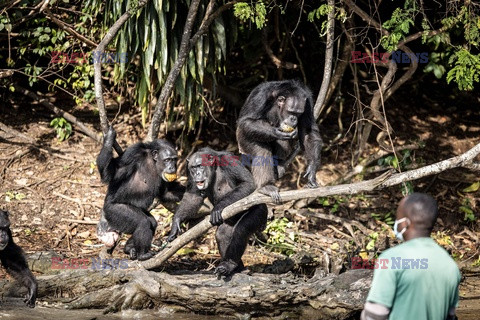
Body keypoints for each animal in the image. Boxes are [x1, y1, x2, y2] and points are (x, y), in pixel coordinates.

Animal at [95, 126, 184, 262]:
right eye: (167, 160)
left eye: (174, 160)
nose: (172, 167)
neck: (153, 161)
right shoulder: (133, 153)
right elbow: (111, 173)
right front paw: (109, 139)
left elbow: (166, 193)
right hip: (113, 212)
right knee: (142, 222)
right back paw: (142, 254)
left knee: (151, 222)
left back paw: (130, 249)